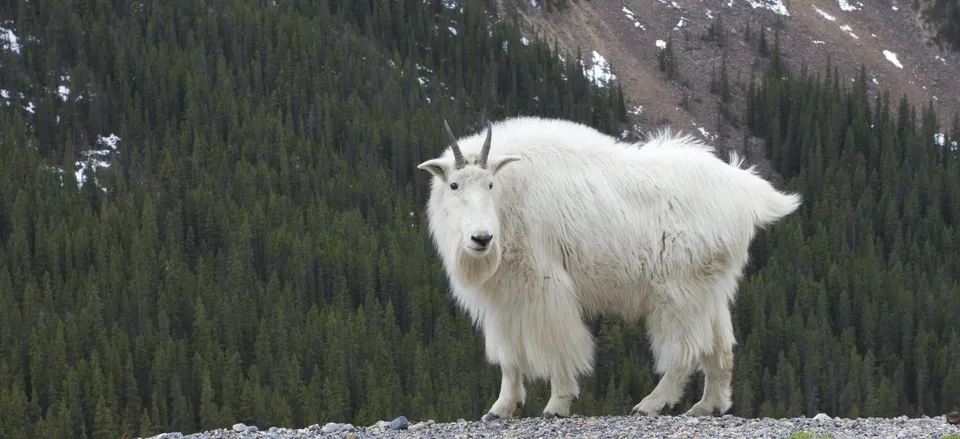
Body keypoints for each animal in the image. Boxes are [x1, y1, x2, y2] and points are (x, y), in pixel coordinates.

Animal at [416, 116, 800, 420]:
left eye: (490, 185)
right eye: (454, 185)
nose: (481, 238)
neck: (510, 198)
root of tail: (745, 192)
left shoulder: (545, 288)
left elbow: (557, 347)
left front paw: (558, 403)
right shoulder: (503, 300)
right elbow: (509, 356)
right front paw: (501, 408)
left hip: (678, 289)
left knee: (685, 350)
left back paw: (651, 403)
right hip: (710, 286)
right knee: (720, 345)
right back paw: (709, 405)